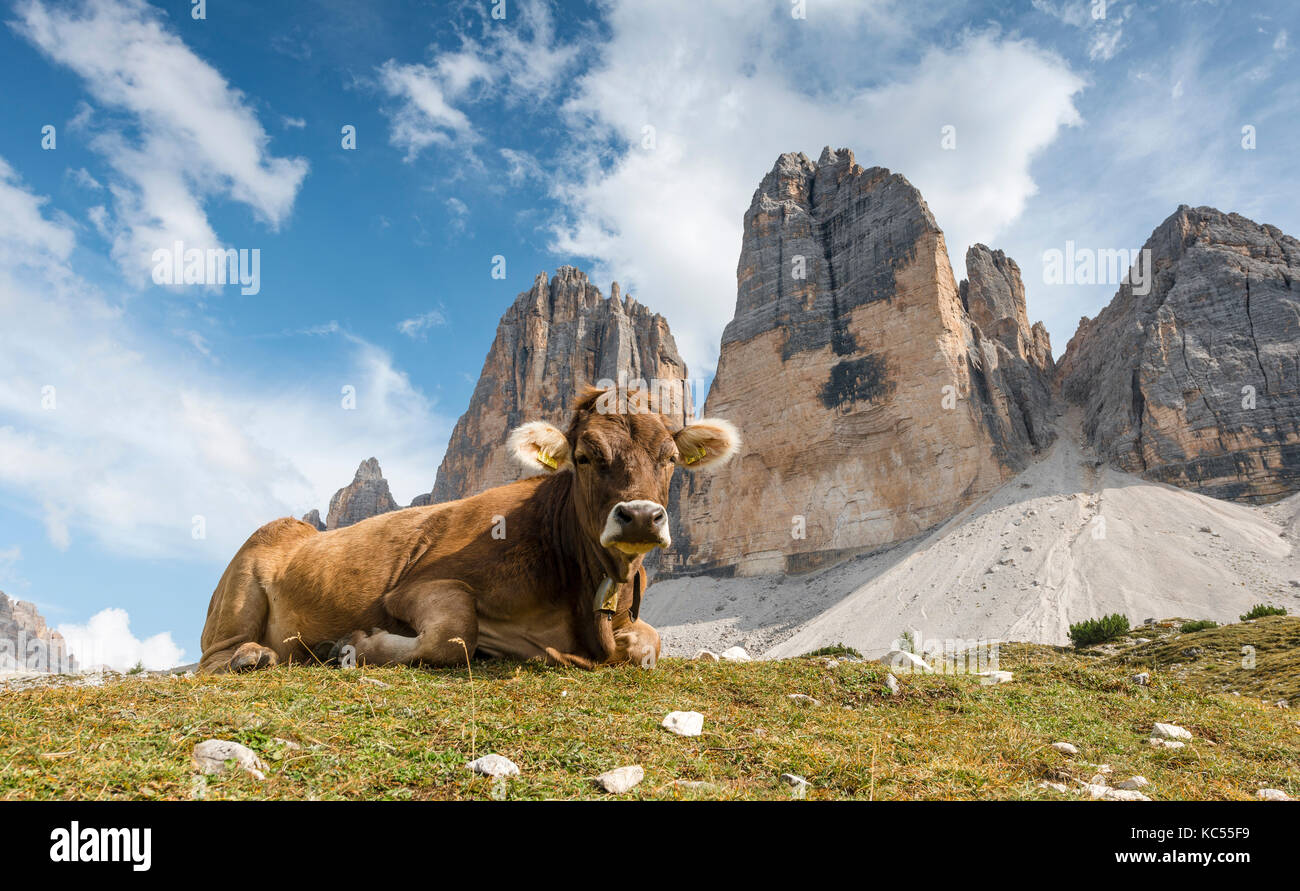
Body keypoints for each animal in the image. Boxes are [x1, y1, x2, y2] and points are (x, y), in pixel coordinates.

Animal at [197, 386, 739, 673]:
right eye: (585, 457)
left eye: (669, 460)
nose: (642, 516)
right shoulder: (411, 588)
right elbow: (455, 635)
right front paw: (354, 646)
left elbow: (650, 644)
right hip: (242, 585)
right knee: (217, 657)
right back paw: (252, 656)